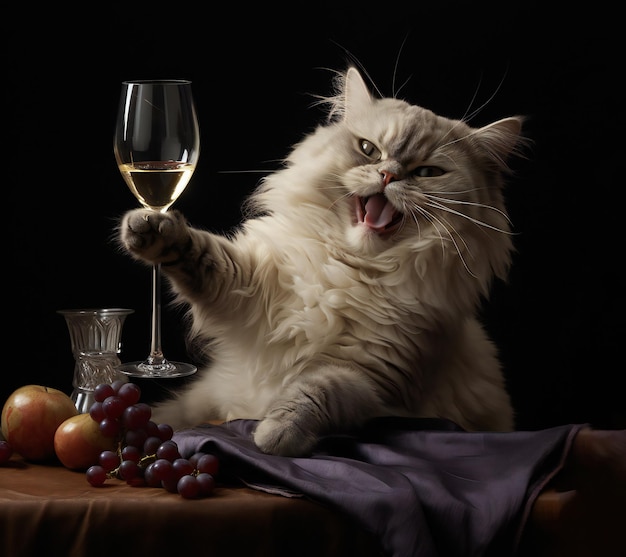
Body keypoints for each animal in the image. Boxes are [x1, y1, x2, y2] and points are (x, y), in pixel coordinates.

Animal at [117, 66, 520, 456]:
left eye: (427, 172)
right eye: (368, 150)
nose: (387, 174)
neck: (353, 269)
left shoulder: (370, 377)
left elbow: (316, 393)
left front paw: (274, 435)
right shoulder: (248, 291)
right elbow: (202, 255)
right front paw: (151, 229)